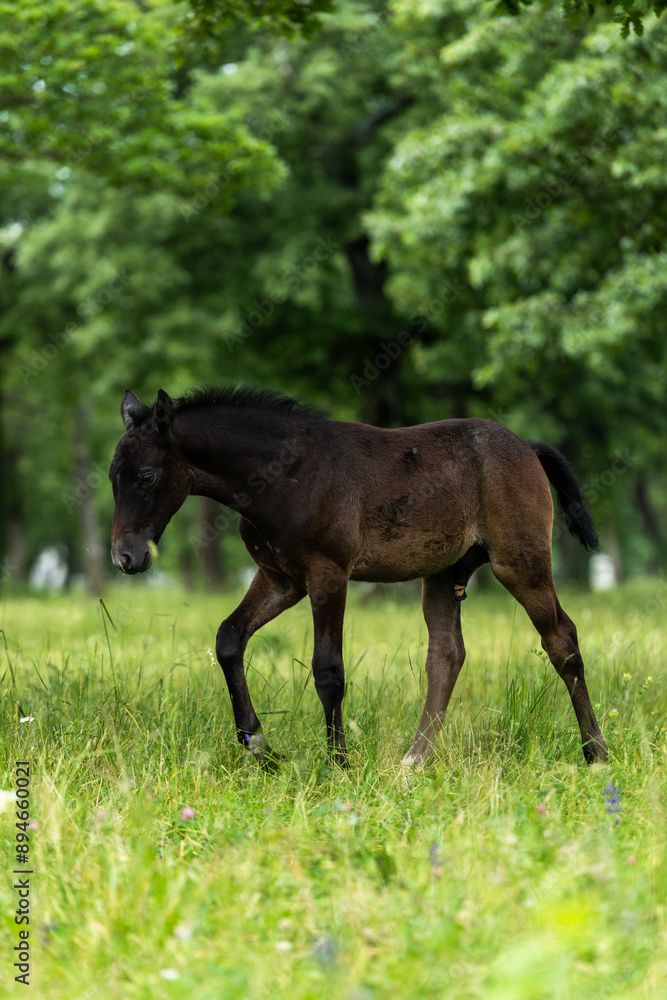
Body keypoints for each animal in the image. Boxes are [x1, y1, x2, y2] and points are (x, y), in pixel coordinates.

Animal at [109, 385, 608, 769]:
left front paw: (338, 764)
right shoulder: (280, 578)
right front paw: (262, 749)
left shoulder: (327, 573)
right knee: (446, 655)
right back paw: (413, 761)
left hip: (520, 563)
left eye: (147, 476)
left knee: (561, 640)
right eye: (113, 477)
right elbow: (229, 639)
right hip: (443, 573)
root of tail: (527, 448)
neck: (283, 474)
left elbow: (328, 670)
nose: (125, 557)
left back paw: (596, 753)